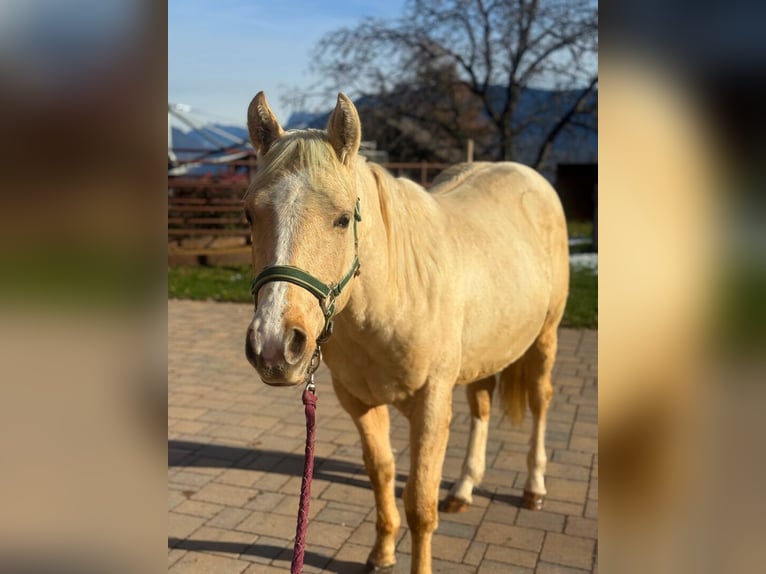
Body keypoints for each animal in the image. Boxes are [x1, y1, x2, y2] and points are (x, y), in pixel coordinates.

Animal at [243, 92, 569, 574]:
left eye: (343, 219)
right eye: (249, 214)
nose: (274, 346)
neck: (396, 293)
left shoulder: (432, 402)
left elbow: (419, 503)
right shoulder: (358, 402)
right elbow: (381, 473)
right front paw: (381, 555)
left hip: (546, 337)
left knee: (541, 401)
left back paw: (534, 488)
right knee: (482, 404)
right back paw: (464, 489)